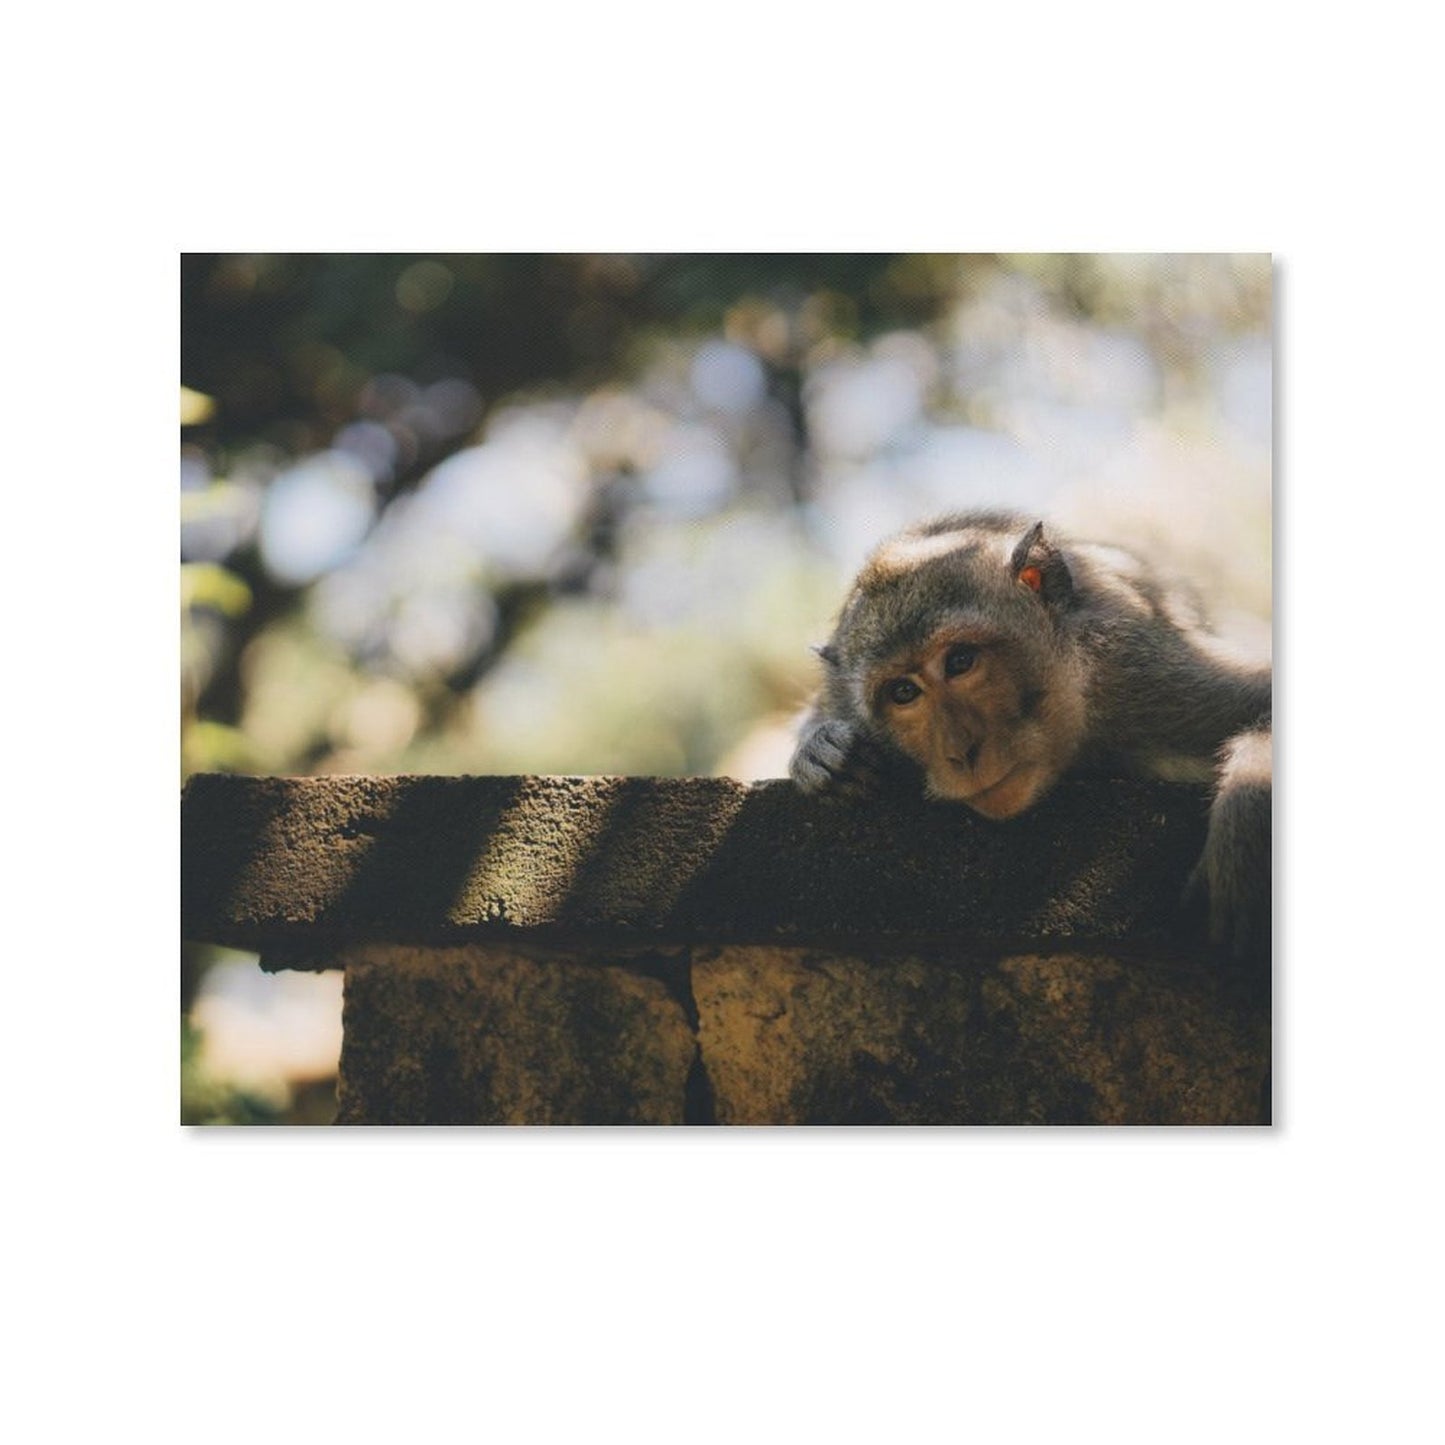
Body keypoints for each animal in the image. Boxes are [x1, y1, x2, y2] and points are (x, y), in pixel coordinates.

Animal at [789, 509, 1271, 959]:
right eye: (904, 692)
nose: (961, 752)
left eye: (960, 661)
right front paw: (822, 754)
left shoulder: (1138, 673)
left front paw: (1246, 813)